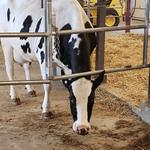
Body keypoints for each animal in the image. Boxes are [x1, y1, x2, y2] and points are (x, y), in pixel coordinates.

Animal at [0, 0, 104, 135]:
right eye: (71, 99)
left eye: (91, 98)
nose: (82, 129)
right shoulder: (43, 58)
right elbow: (47, 86)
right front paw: (46, 110)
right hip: (6, 42)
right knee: (10, 70)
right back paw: (14, 96)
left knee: (26, 66)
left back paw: (30, 89)